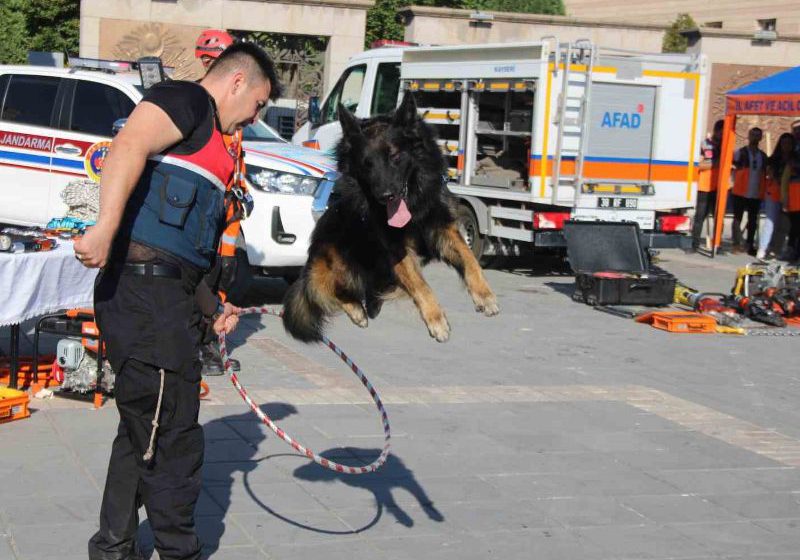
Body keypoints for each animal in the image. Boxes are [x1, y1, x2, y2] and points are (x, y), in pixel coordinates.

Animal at [280, 94, 494, 344]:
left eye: (395, 156)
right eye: (366, 164)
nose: (385, 196)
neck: (413, 204)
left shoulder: (442, 227)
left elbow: (469, 258)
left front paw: (485, 295)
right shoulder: (396, 248)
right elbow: (421, 285)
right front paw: (436, 320)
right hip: (338, 260)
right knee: (324, 291)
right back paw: (357, 309)